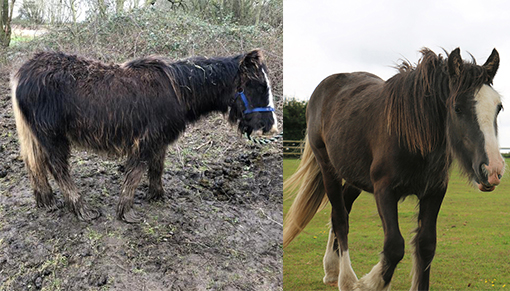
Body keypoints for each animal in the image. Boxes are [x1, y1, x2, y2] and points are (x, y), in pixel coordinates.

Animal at [11, 50, 276, 224]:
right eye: (259, 86)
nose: (271, 127)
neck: (179, 91)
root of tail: (22, 73)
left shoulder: (159, 141)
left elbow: (156, 168)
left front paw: (157, 196)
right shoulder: (146, 141)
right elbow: (135, 173)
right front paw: (126, 212)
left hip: (36, 137)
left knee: (34, 165)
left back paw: (46, 201)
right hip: (53, 137)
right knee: (58, 169)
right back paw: (82, 209)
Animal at [284, 48, 504, 290]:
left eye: (498, 107)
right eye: (457, 108)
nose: (493, 170)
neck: (412, 132)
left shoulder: (434, 192)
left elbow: (426, 245)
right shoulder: (385, 191)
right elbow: (394, 247)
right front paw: (367, 284)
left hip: (354, 177)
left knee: (340, 211)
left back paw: (332, 270)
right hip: (327, 168)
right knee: (340, 218)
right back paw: (346, 278)